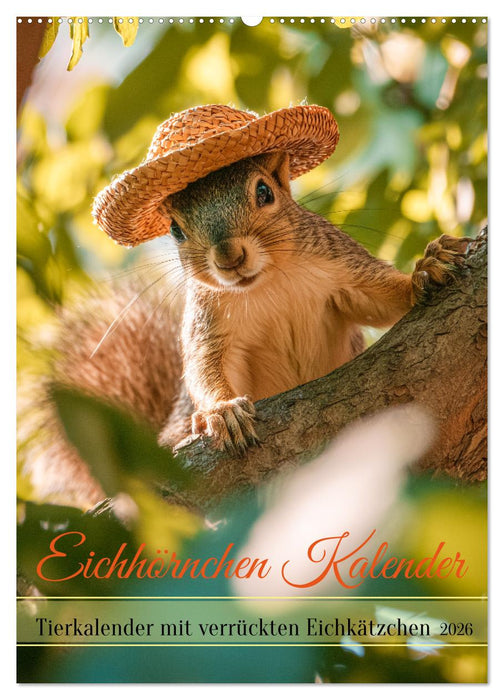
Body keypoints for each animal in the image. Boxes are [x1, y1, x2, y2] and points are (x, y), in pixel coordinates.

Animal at [21, 107, 470, 510]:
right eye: (175, 230)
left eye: (265, 192)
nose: (229, 258)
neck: (268, 284)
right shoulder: (210, 325)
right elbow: (206, 367)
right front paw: (221, 412)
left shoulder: (341, 267)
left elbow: (380, 297)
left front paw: (425, 271)